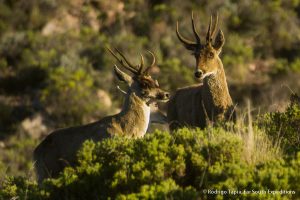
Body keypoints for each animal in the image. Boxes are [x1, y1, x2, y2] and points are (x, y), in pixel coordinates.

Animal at [33, 47, 169, 184]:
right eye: (144, 84)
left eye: (154, 81)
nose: (166, 94)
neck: (127, 129)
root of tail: (36, 153)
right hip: (50, 171)